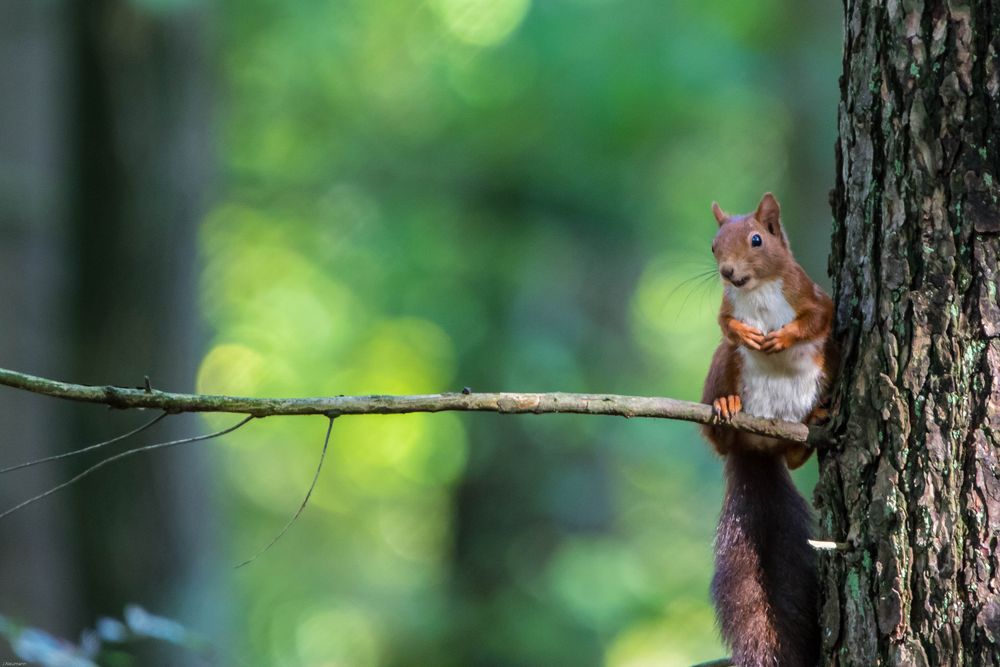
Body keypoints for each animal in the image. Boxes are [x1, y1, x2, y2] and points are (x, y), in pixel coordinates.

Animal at [704, 193, 836, 667]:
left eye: (757, 240)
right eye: (713, 245)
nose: (727, 273)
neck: (756, 291)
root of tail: (757, 446)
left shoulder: (811, 295)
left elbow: (818, 319)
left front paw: (784, 337)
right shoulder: (727, 308)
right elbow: (725, 323)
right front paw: (745, 330)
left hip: (822, 376)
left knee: (793, 457)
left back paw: (810, 427)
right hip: (723, 364)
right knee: (719, 438)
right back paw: (725, 407)